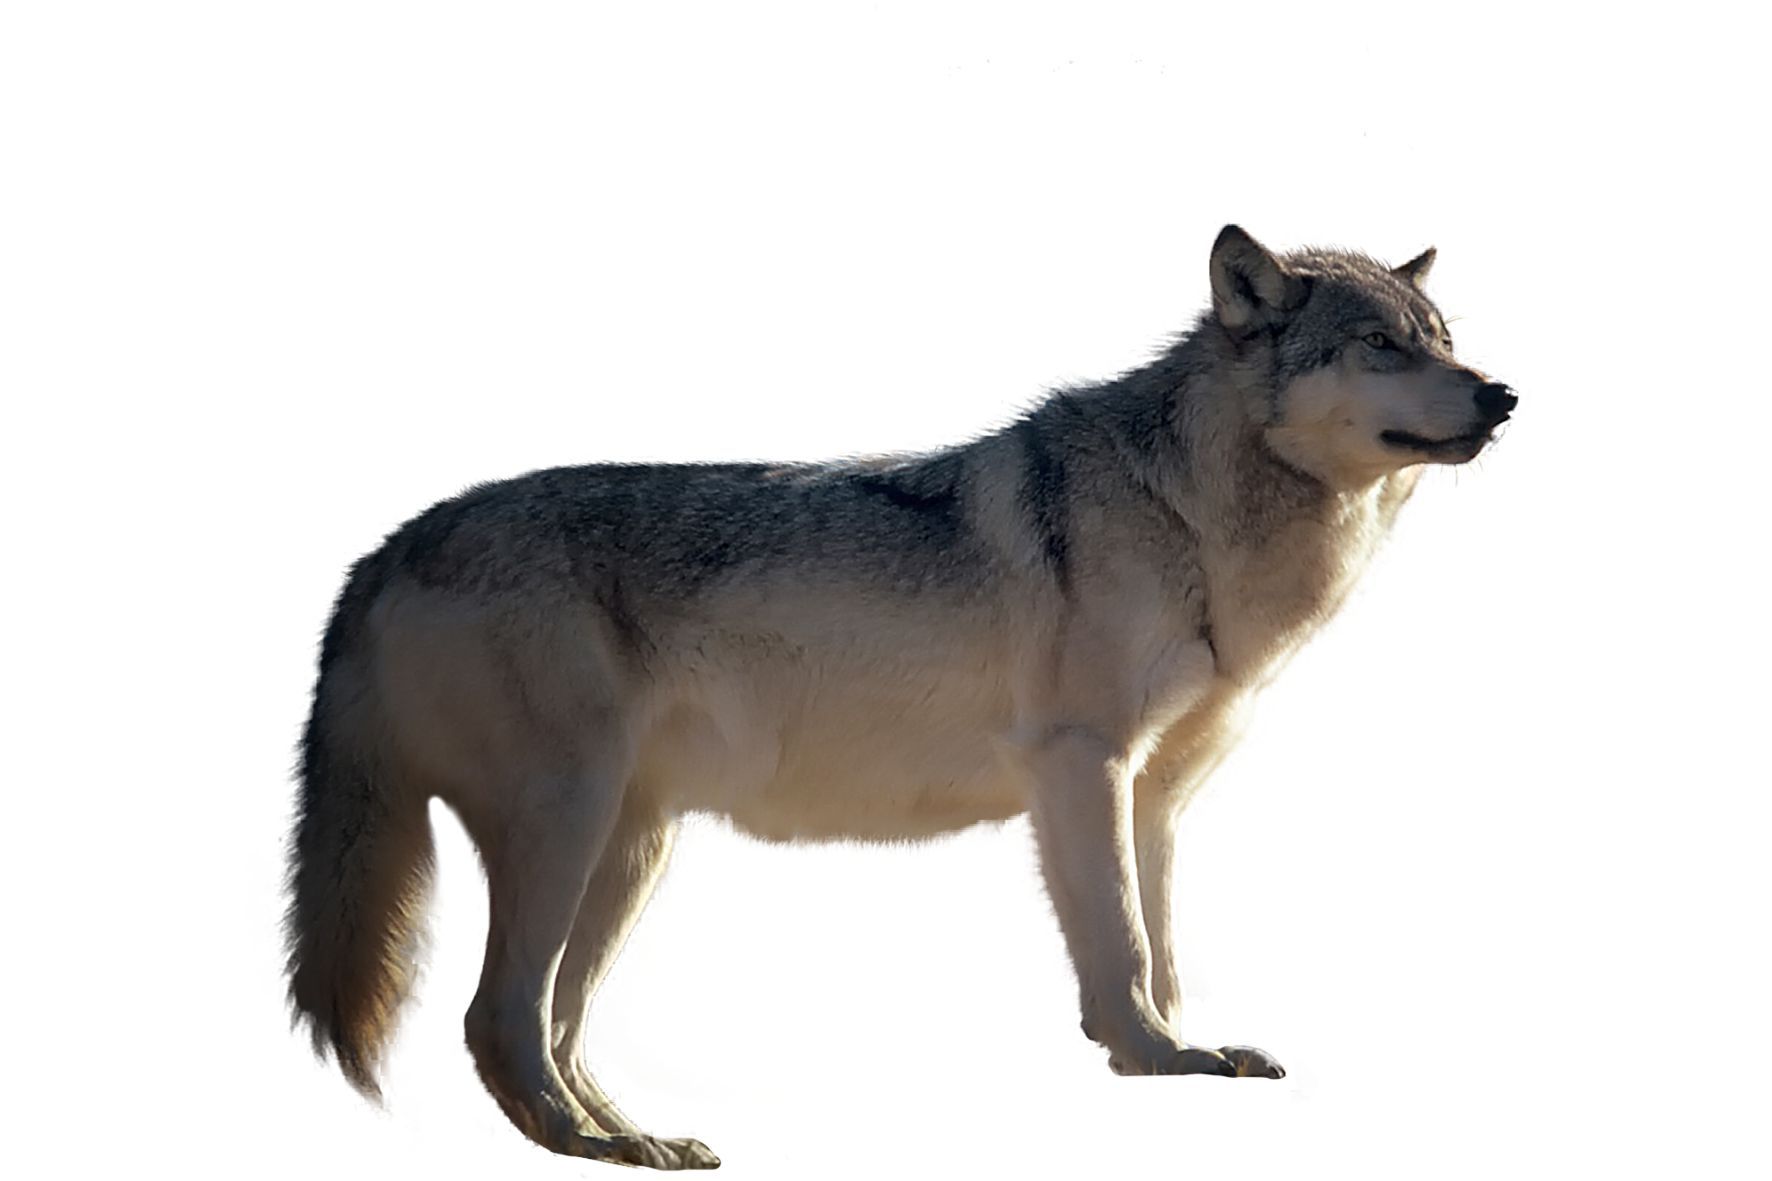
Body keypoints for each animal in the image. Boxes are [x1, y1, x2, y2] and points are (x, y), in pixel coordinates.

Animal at [286, 226, 1513, 1169]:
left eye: (1443, 339)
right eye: (1379, 344)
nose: (1502, 394)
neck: (1190, 513)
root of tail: (382, 549)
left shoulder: (1156, 795)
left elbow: (1161, 945)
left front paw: (1185, 1047)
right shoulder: (1082, 764)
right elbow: (1119, 946)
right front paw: (1156, 1059)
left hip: (631, 851)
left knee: (551, 1022)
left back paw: (635, 1139)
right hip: (570, 825)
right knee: (497, 1016)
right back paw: (595, 1143)